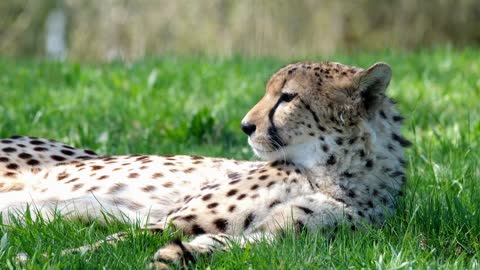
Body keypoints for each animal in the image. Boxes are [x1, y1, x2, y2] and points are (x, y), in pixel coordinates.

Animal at [1, 61, 410, 268]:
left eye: (288, 97)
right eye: (270, 92)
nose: (246, 126)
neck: (331, 172)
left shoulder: (284, 239)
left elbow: (229, 243)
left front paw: (177, 255)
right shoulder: (172, 220)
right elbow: (111, 242)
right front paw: (37, 259)